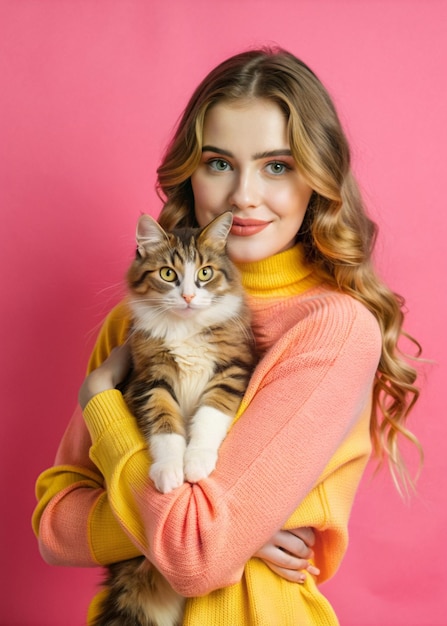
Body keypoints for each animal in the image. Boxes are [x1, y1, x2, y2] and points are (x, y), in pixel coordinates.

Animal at [93, 211, 256, 624]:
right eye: (168, 274)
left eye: (205, 273)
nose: (187, 296)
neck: (185, 328)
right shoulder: (150, 380)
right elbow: (167, 430)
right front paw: (169, 472)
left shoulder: (230, 371)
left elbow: (207, 420)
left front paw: (196, 463)